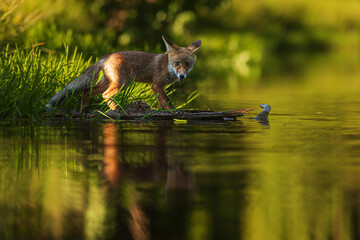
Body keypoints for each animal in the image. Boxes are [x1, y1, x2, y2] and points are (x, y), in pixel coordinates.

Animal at [45, 35, 200, 109]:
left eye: (187, 64)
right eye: (177, 63)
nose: (182, 75)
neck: (167, 67)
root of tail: (106, 55)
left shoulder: (160, 87)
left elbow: (162, 103)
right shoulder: (156, 85)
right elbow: (168, 103)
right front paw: (174, 112)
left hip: (109, 82)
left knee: (87, 90)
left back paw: (84, 110)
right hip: (121, 83)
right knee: (104, 95)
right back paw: (116, 110)